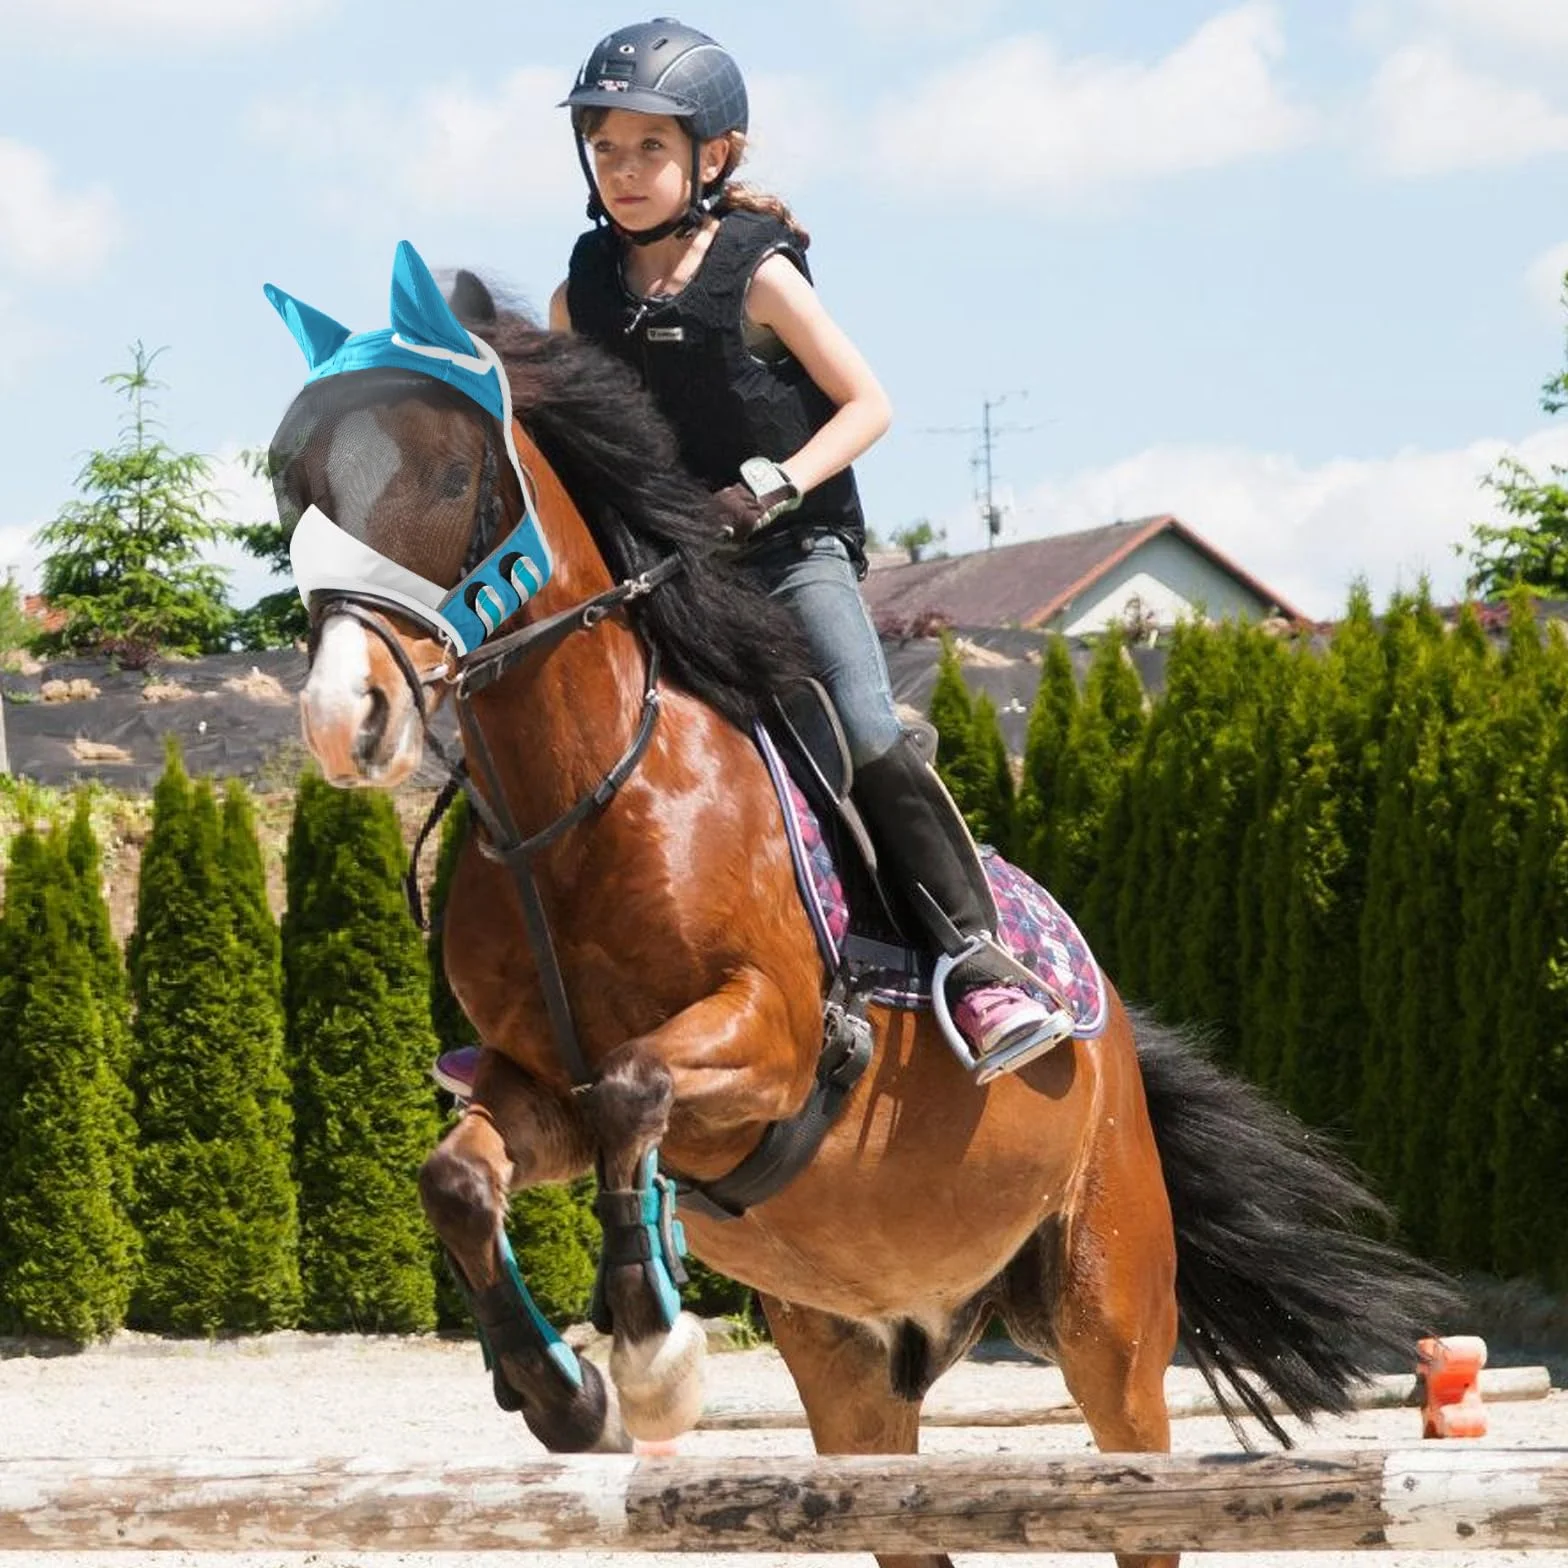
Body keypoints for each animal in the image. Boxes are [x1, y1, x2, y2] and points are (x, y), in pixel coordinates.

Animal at [266, 243, 1452, 1568]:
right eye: (295, 485)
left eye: (456, 470)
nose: (345, 717)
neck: (576, 798)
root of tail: (1112, 1038)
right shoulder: (536, 1092)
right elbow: (460, 1176)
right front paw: (563, 1392)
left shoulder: (775, 1044)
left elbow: (634, 1081)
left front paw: (651, 1352)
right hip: (851, 1368)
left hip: (1106, 1310)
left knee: (1137, 1485)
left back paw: (1000, 1006)